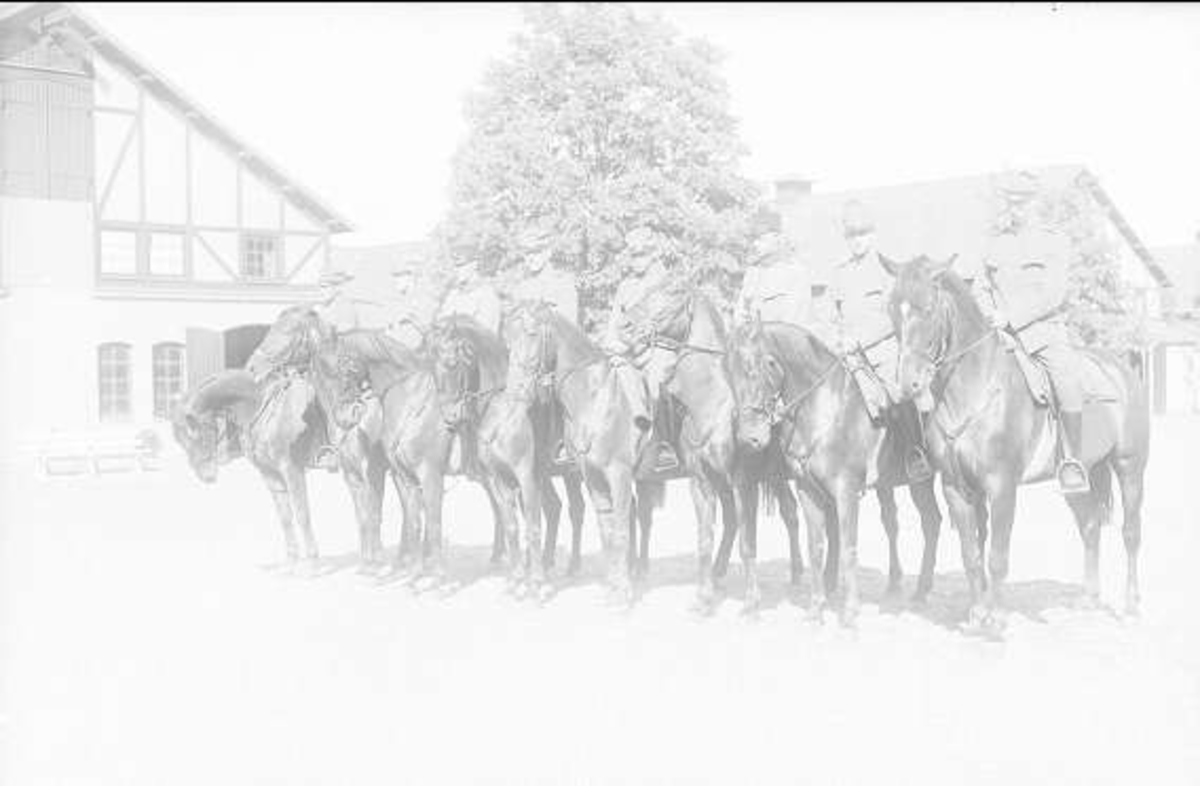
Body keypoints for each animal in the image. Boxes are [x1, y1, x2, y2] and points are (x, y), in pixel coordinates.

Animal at [171, 367, 327, 572]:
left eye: (194, 435)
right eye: (180, 442)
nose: (207, 476)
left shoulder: (292, 469)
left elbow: (302, 515)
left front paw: (312, 563)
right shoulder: (270, 473)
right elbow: (285, 518)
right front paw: (291, 562)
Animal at [427, 313, 588, 594]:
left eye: (452, 363)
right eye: (431, 364)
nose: (450, 418)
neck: (503, 412)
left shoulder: (524, 476)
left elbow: (532, 525)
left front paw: (535, 582)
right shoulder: (497, 478)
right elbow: (511, 524)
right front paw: (517, 578)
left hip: (570, 474)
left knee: (576, 510)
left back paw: (572, 566)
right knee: (554, 508)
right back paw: (546, 562)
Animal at [726, 318, 944, 626]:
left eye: (765, 363)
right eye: (729, 371)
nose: (750, 437)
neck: (825, 412)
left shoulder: (846, 491)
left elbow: (848, 547)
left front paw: (849, 612)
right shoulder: (808, 491)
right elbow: (816, 547)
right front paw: (816, 609)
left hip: (921, 482)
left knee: (931, 523)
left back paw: (922, 590)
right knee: (900, 523)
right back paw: (900, 586)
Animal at [888, 255, 1150, 633]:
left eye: (927, 308)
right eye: (893, 309)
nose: (907, 384)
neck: (975, 389)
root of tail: (1120, 368)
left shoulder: (1001, 486)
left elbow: (997, 556)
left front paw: (996, 618)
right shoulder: (956, 488)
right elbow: (971, 553)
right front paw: (976, 613)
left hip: (1130, 468)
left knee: (1131, 533)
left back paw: (1131, 606)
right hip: (1082, 477)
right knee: (1089, 528)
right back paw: (1088, 599)